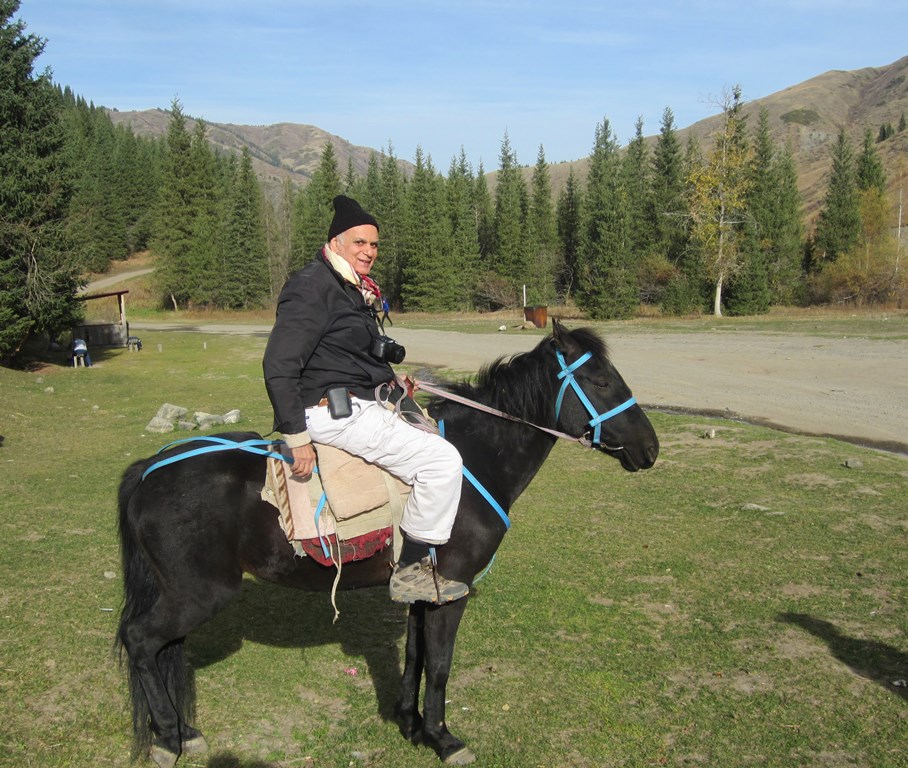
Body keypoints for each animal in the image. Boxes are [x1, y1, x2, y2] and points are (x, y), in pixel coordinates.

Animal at [119, 320, 660, 764]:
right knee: (141, 640)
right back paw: (169, 737)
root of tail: (151, 467)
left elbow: (416, 657)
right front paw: (443, 738)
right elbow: (439, 666)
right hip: (201, 594)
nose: (650, 449)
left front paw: (410, 723)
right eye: (602, 382)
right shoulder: (452, 591)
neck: (473, 459)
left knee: (164, 648)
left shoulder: (424, 590)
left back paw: (181, 731)